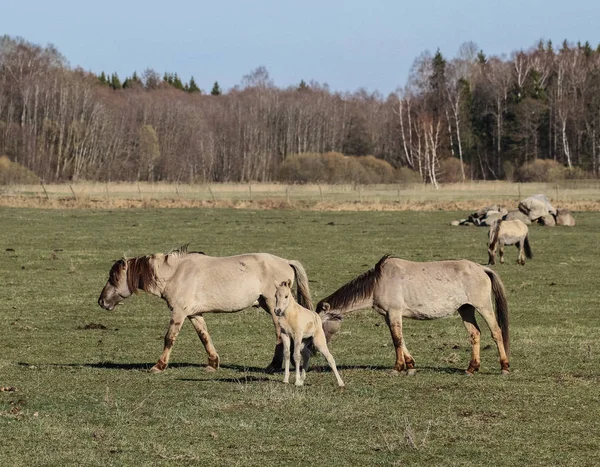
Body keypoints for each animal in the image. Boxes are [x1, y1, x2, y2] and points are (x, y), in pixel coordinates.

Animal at [97, 247, 314, 374]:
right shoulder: (194, 314)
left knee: (280, 335)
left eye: (113, 278)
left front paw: (159, 366)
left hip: (272, 307)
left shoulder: (179, 313)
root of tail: (286, 261)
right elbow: (204, 337)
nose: (101, 301)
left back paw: (274, 365)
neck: (175, 273)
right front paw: (212, 363)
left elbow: (169, 338)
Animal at [316, 256, 508, 376]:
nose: (318, 347)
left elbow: (397, 340)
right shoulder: (389, 315)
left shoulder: (394, 313)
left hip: (483, 306)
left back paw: (504, 367)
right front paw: (410, 366)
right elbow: (400, 339)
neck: (378, 283)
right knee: (475, 334)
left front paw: (397, 368)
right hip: (466, 309)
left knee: (496, 332)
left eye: (319, 324)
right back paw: (471, 368)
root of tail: (482, 268)